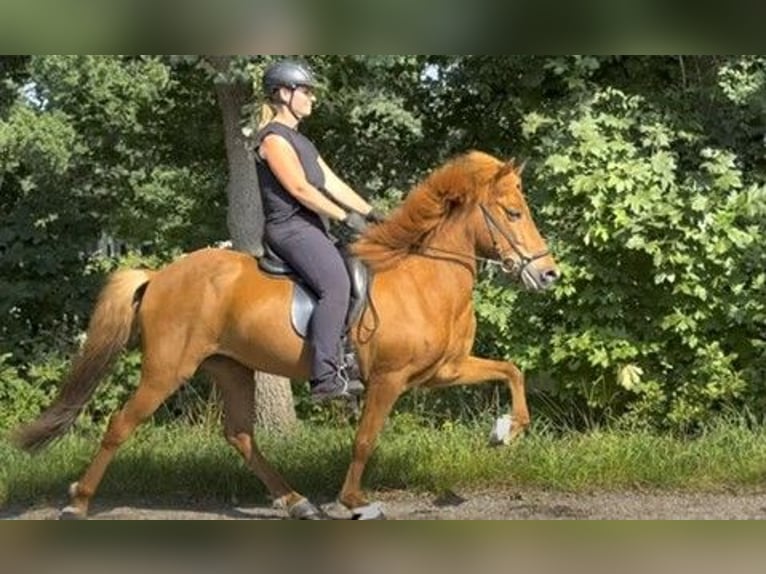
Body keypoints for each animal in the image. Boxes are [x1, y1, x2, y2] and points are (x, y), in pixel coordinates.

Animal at [12, 151, 560, 520]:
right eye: (513, 213)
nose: (548, 274)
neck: (423, 276)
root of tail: (159, 276)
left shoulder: (442, 371)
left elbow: (512, 370)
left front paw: (506, 431)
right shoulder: (389, 380)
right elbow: (365, 439)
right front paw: (353, 501)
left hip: (230, 368)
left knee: (239, 434)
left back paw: (295, 501)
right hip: (167, 370)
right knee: (121, 425)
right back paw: (78, 502)